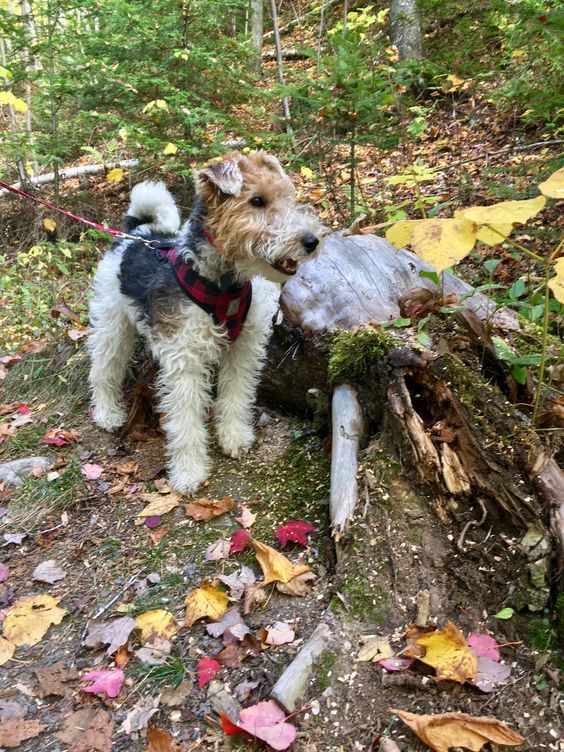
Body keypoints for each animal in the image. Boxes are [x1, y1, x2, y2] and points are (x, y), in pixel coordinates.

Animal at [88, 151, 326, 494]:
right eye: (257, 201)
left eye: (288, 197)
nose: (311, 240)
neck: (225, 285)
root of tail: (137, 235)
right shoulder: (185, 360)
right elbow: (186, 421)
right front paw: (189, 473)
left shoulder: (243, 349)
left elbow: (236, 396)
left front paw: (235, 437)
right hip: (112, 325)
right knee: (103, 370)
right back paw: (108, 414)